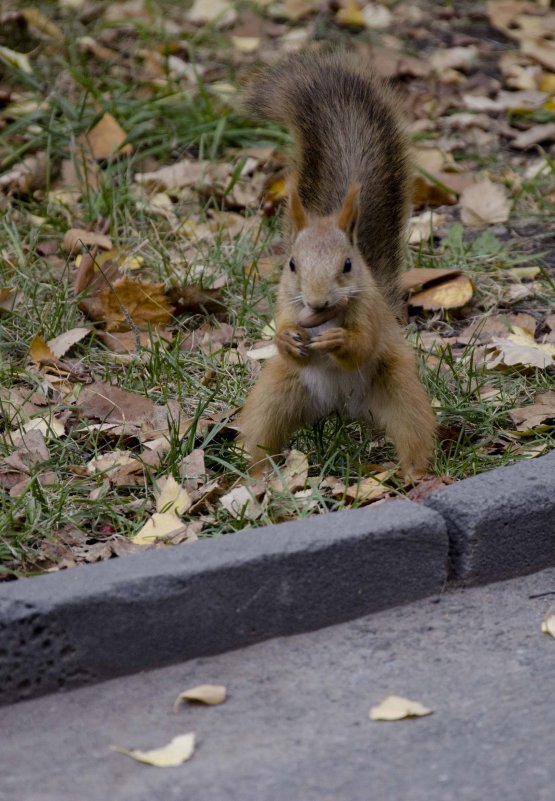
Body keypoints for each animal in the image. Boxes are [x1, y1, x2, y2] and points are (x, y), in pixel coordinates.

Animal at [237, 50, 436, 478]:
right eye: (292, 264)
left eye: (347, 264)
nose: (317, 302)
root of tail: (342, 408)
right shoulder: (286, 302)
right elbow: (282, 329)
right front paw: (285, 338)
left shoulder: (370, 312)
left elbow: (362, 344)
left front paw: (339, 341)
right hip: (278, 393)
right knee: (263, 433)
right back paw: (259, 475)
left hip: (397, 390)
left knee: (413, 431)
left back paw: (413, 474)